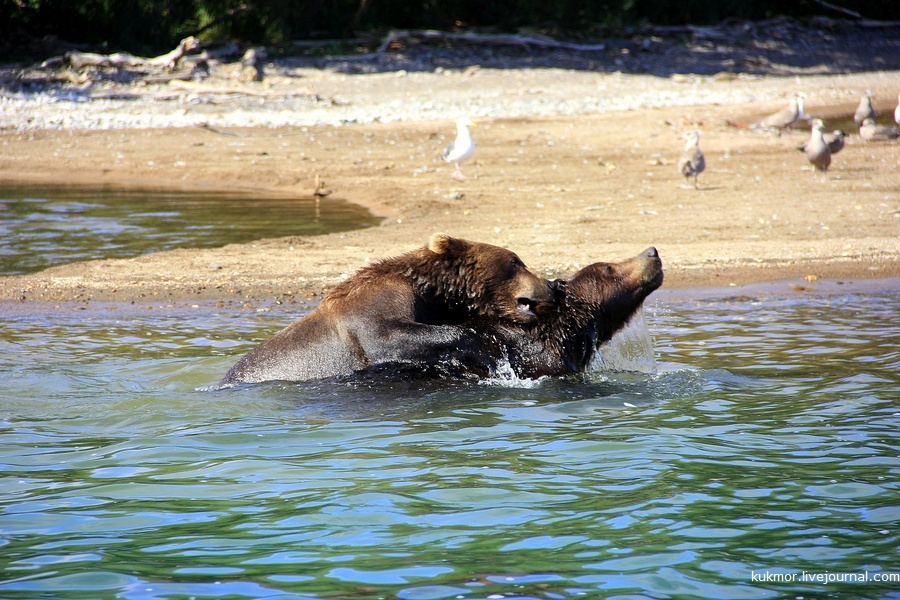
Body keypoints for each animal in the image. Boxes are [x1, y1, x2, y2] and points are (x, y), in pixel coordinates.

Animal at [218, 234, 556, 384]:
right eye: (515, 261)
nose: (551, 285)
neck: (432, 293)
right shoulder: (376, 303)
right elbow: (385, 336)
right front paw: (486, 349)